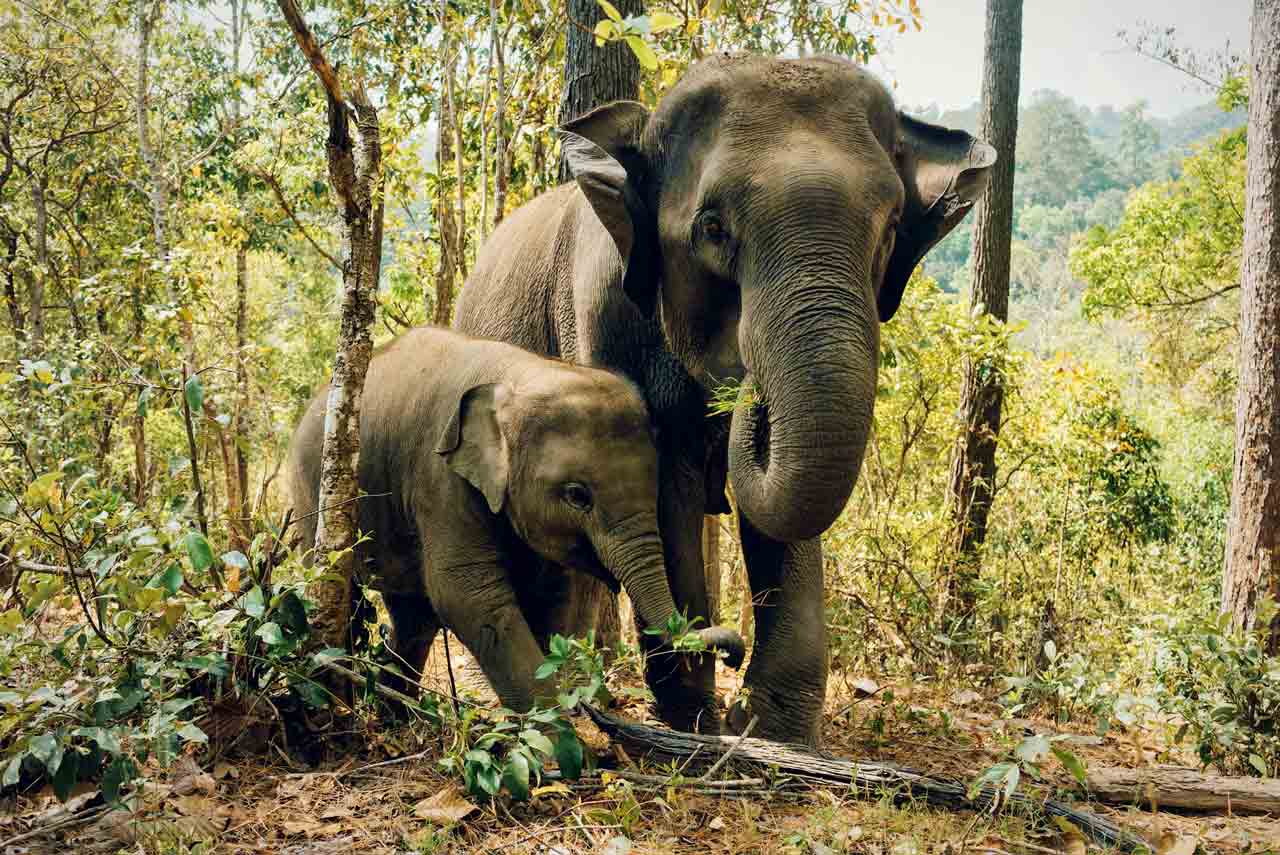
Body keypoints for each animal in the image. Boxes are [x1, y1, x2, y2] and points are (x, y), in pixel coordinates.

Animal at [287, 326, 746, 719]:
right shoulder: (440, 477)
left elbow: (550, 594)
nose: (732, 654)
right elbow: (468, 595)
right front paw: (566, 742)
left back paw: (396, 715)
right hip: (314, 490)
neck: (518, 374)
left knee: (414, 615)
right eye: (577, 495)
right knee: (341, 590)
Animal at [455, 53, 995, 744]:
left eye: (892, 229)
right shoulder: (603, 318)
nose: (748, 389)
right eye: (712, 228)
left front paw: (772, 730)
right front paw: (696, 720)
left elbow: (783, 513)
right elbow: (666, 490)